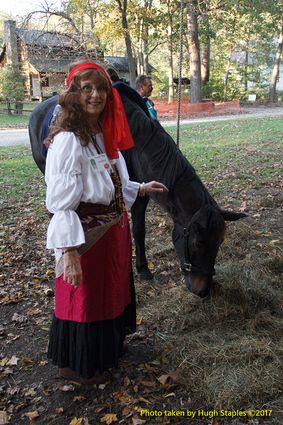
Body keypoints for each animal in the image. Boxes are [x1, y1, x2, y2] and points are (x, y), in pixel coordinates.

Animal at [29, 85, 246, 298]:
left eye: (219, 242)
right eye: (198, 243)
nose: (203, 291)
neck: (134, 146)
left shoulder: (140, 195)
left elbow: (139, 230)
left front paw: (143, 269)